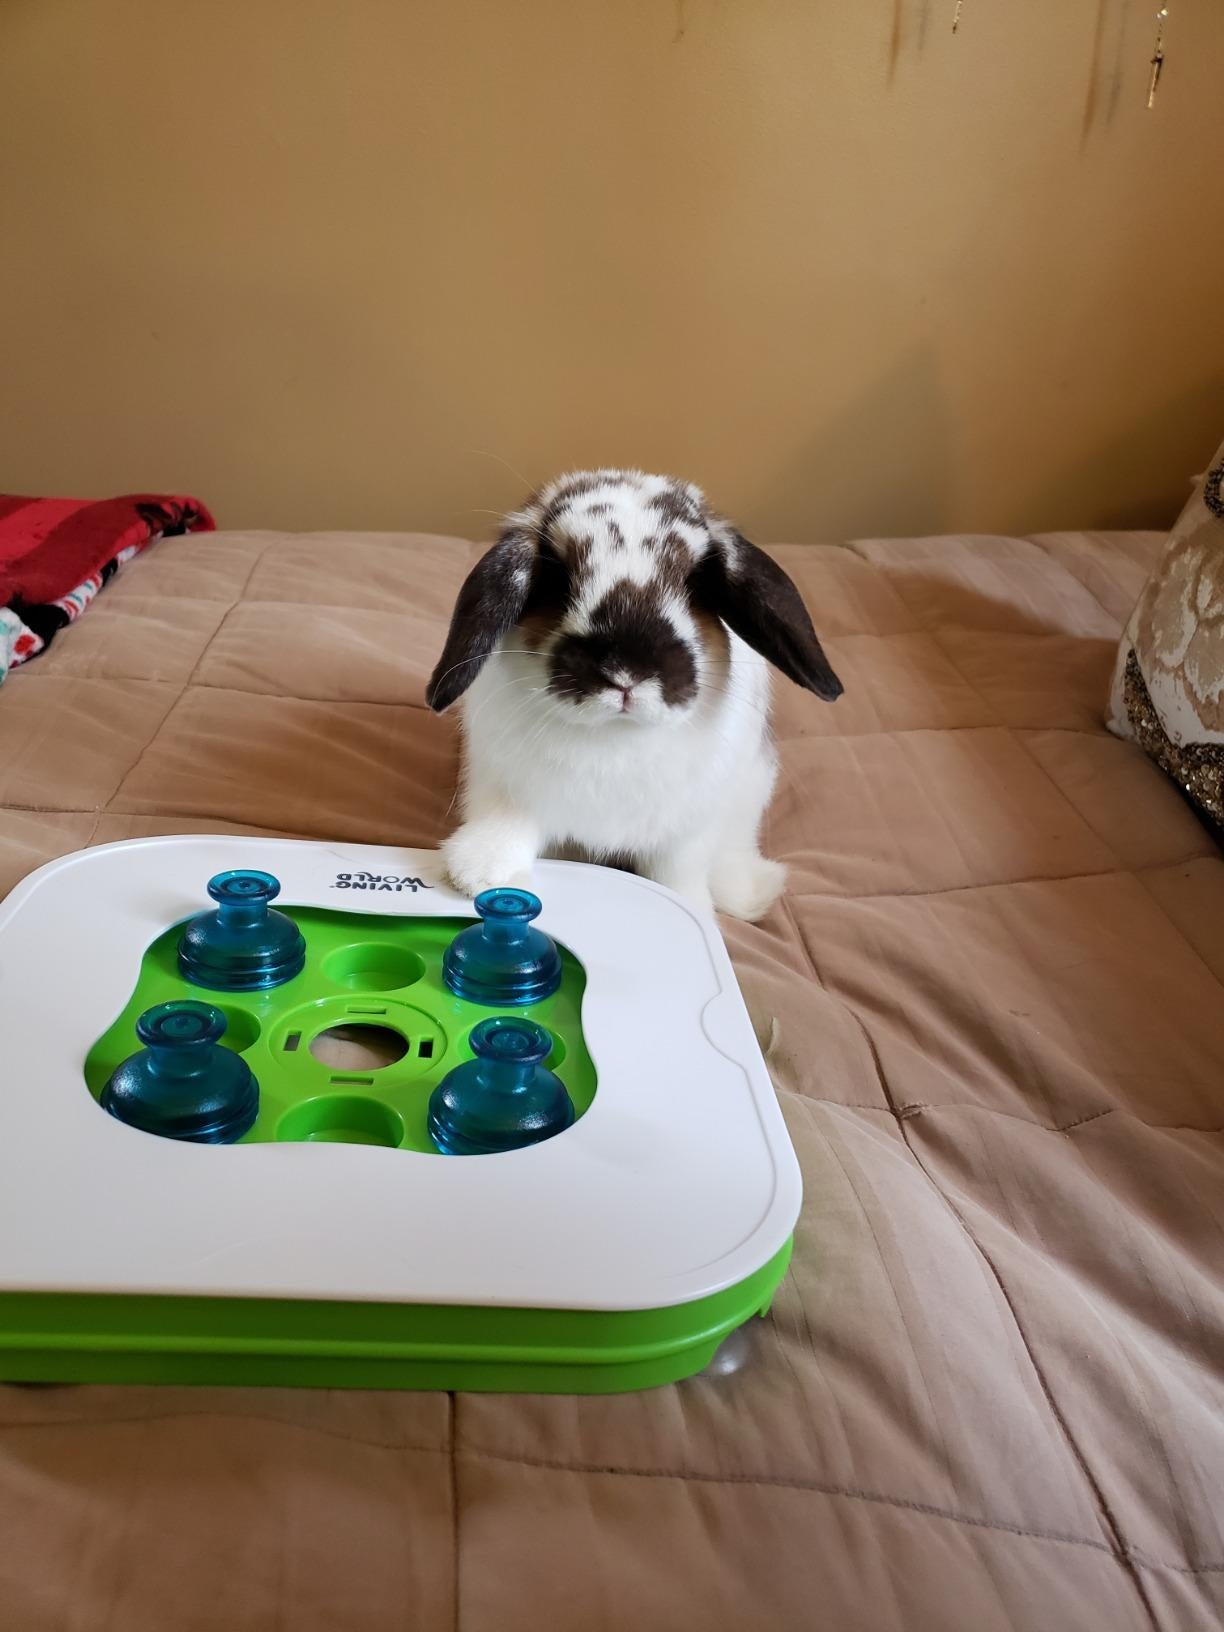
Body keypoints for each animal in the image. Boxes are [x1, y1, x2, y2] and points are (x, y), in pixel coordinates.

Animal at [425, 469, 843, 920]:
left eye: (698, 583)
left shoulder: (684, 837)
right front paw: (475, 876)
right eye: (556, 580)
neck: (615, 737)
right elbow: (508, 829)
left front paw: (691, 910)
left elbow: (675, 877)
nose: (626, 672)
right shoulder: (507, 790)